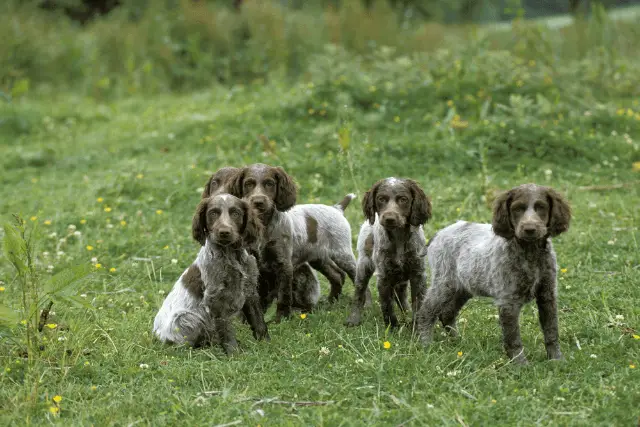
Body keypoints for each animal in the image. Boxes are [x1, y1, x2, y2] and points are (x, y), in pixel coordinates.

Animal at [153, 194, 268, 354]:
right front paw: (233, 353)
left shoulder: (250, 289)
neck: (231, 255)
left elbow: (258, 320)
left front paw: (265, 343)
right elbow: (226, 328)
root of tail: (156, 335)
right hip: (186, 318)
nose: (224, 232)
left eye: (235, 213)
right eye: (213, 213)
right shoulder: (215, 297)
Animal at [418, 183, 572, 364]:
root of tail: (439, 233)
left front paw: (556, 360)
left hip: (463, 287)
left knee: (447, 313)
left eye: (541, 207)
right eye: (517, 209)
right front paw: (520, 364)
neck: (530, 252)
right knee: (426, 311)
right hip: (444, 283)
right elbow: (513, 338)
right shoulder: (508, 301)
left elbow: (552, 331)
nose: (529, 229)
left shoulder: (547, 295)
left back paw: (457, 342)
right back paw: (425, 343)